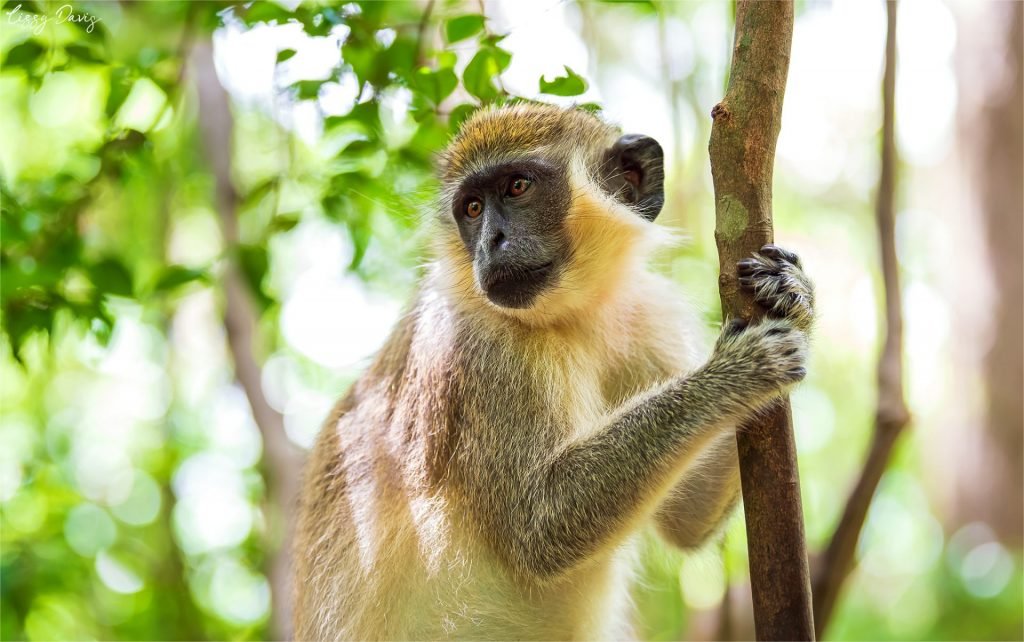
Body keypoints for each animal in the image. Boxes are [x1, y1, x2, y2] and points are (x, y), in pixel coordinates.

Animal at [292, 103, 814, 641]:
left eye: (517, 187)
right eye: (472, 209)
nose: (492, 242)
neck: (571, 315)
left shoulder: (647, 313)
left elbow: (689, 517)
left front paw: (796, 295)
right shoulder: (480, 344)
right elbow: (538, 526)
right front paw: (738, 373)